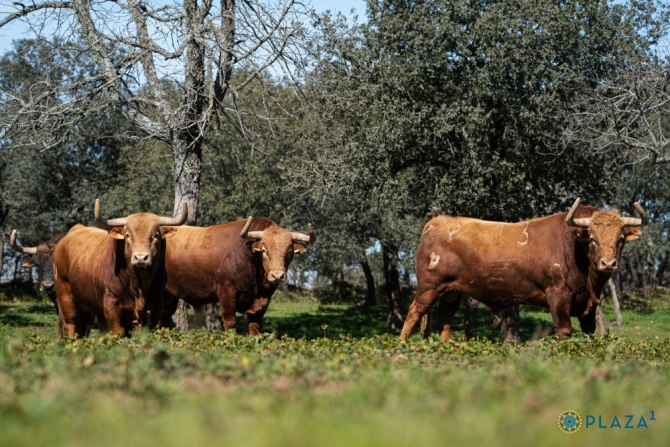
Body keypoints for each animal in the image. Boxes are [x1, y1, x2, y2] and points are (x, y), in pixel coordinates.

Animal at [53, 201, 186, 338]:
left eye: (155, 235)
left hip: (85, 304)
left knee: (81, 327)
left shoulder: (155, 306)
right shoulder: (111, 305)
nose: (140, 258)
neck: (139, 286)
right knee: (70, 322)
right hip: (65, 294)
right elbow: (118, 333)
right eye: (128, 235)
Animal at [162, 217, 316, 336]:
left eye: (289, 251)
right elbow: (230, 322)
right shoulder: (227, 292)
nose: (277, 275)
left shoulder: (263, 301)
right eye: (264, 250)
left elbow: (255, 326)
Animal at [402, 198, 648, 342]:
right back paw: (402, 345)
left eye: (621, 238)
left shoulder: (588, 306)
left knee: (444, 317)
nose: (608, 263)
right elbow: (564, 331)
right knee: (414, 311)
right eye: (592, 238)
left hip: (452, 291)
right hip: (429, 286)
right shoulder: (558, 296)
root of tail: (438, 220)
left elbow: (590, 332)